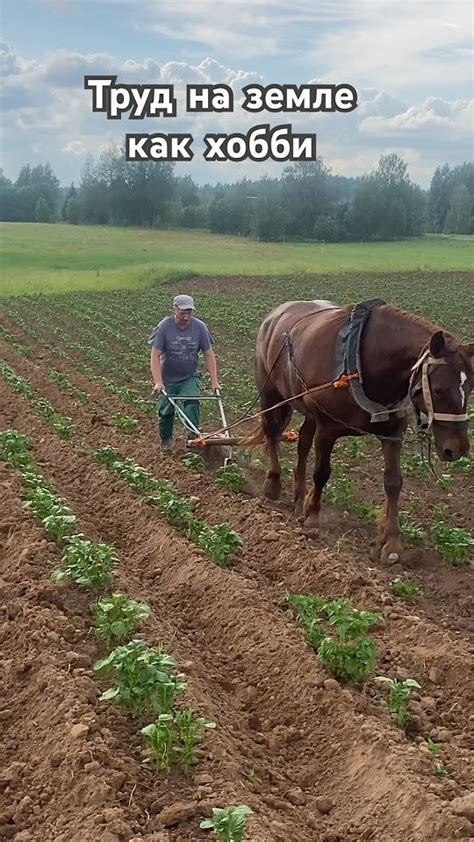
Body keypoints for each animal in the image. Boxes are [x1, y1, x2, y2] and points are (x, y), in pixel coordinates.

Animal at [252, 298, 470, 560]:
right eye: (438, 389)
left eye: (469, 388)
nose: (458, 449)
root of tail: (276, 313)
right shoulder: (327, 429)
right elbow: (322, 472)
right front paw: (313, 516)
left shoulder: (392, 433)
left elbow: (393, 482)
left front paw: (392, 543)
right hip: (270, 394)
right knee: (272, 434)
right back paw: (273, 484)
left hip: (307, 410)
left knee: (302, 444)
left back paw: (299, 498)